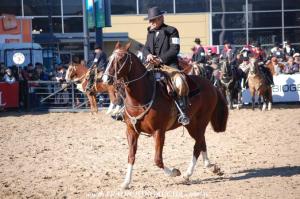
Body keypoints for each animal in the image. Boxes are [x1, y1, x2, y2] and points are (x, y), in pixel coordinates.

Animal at [102, 42, 229, 189]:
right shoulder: (131, 131)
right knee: (201, 142)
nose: (105, 78)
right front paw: (126, 182)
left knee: (197, 145)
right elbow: (131, 156)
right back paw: (210, 167)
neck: (141, 98)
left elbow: (157, 160)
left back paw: (188, 174)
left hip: (200, 122)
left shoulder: (159, 132)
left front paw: (174, 172)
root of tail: (211, 85)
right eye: (110, 58)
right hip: (192, 125)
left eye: (121, 59)